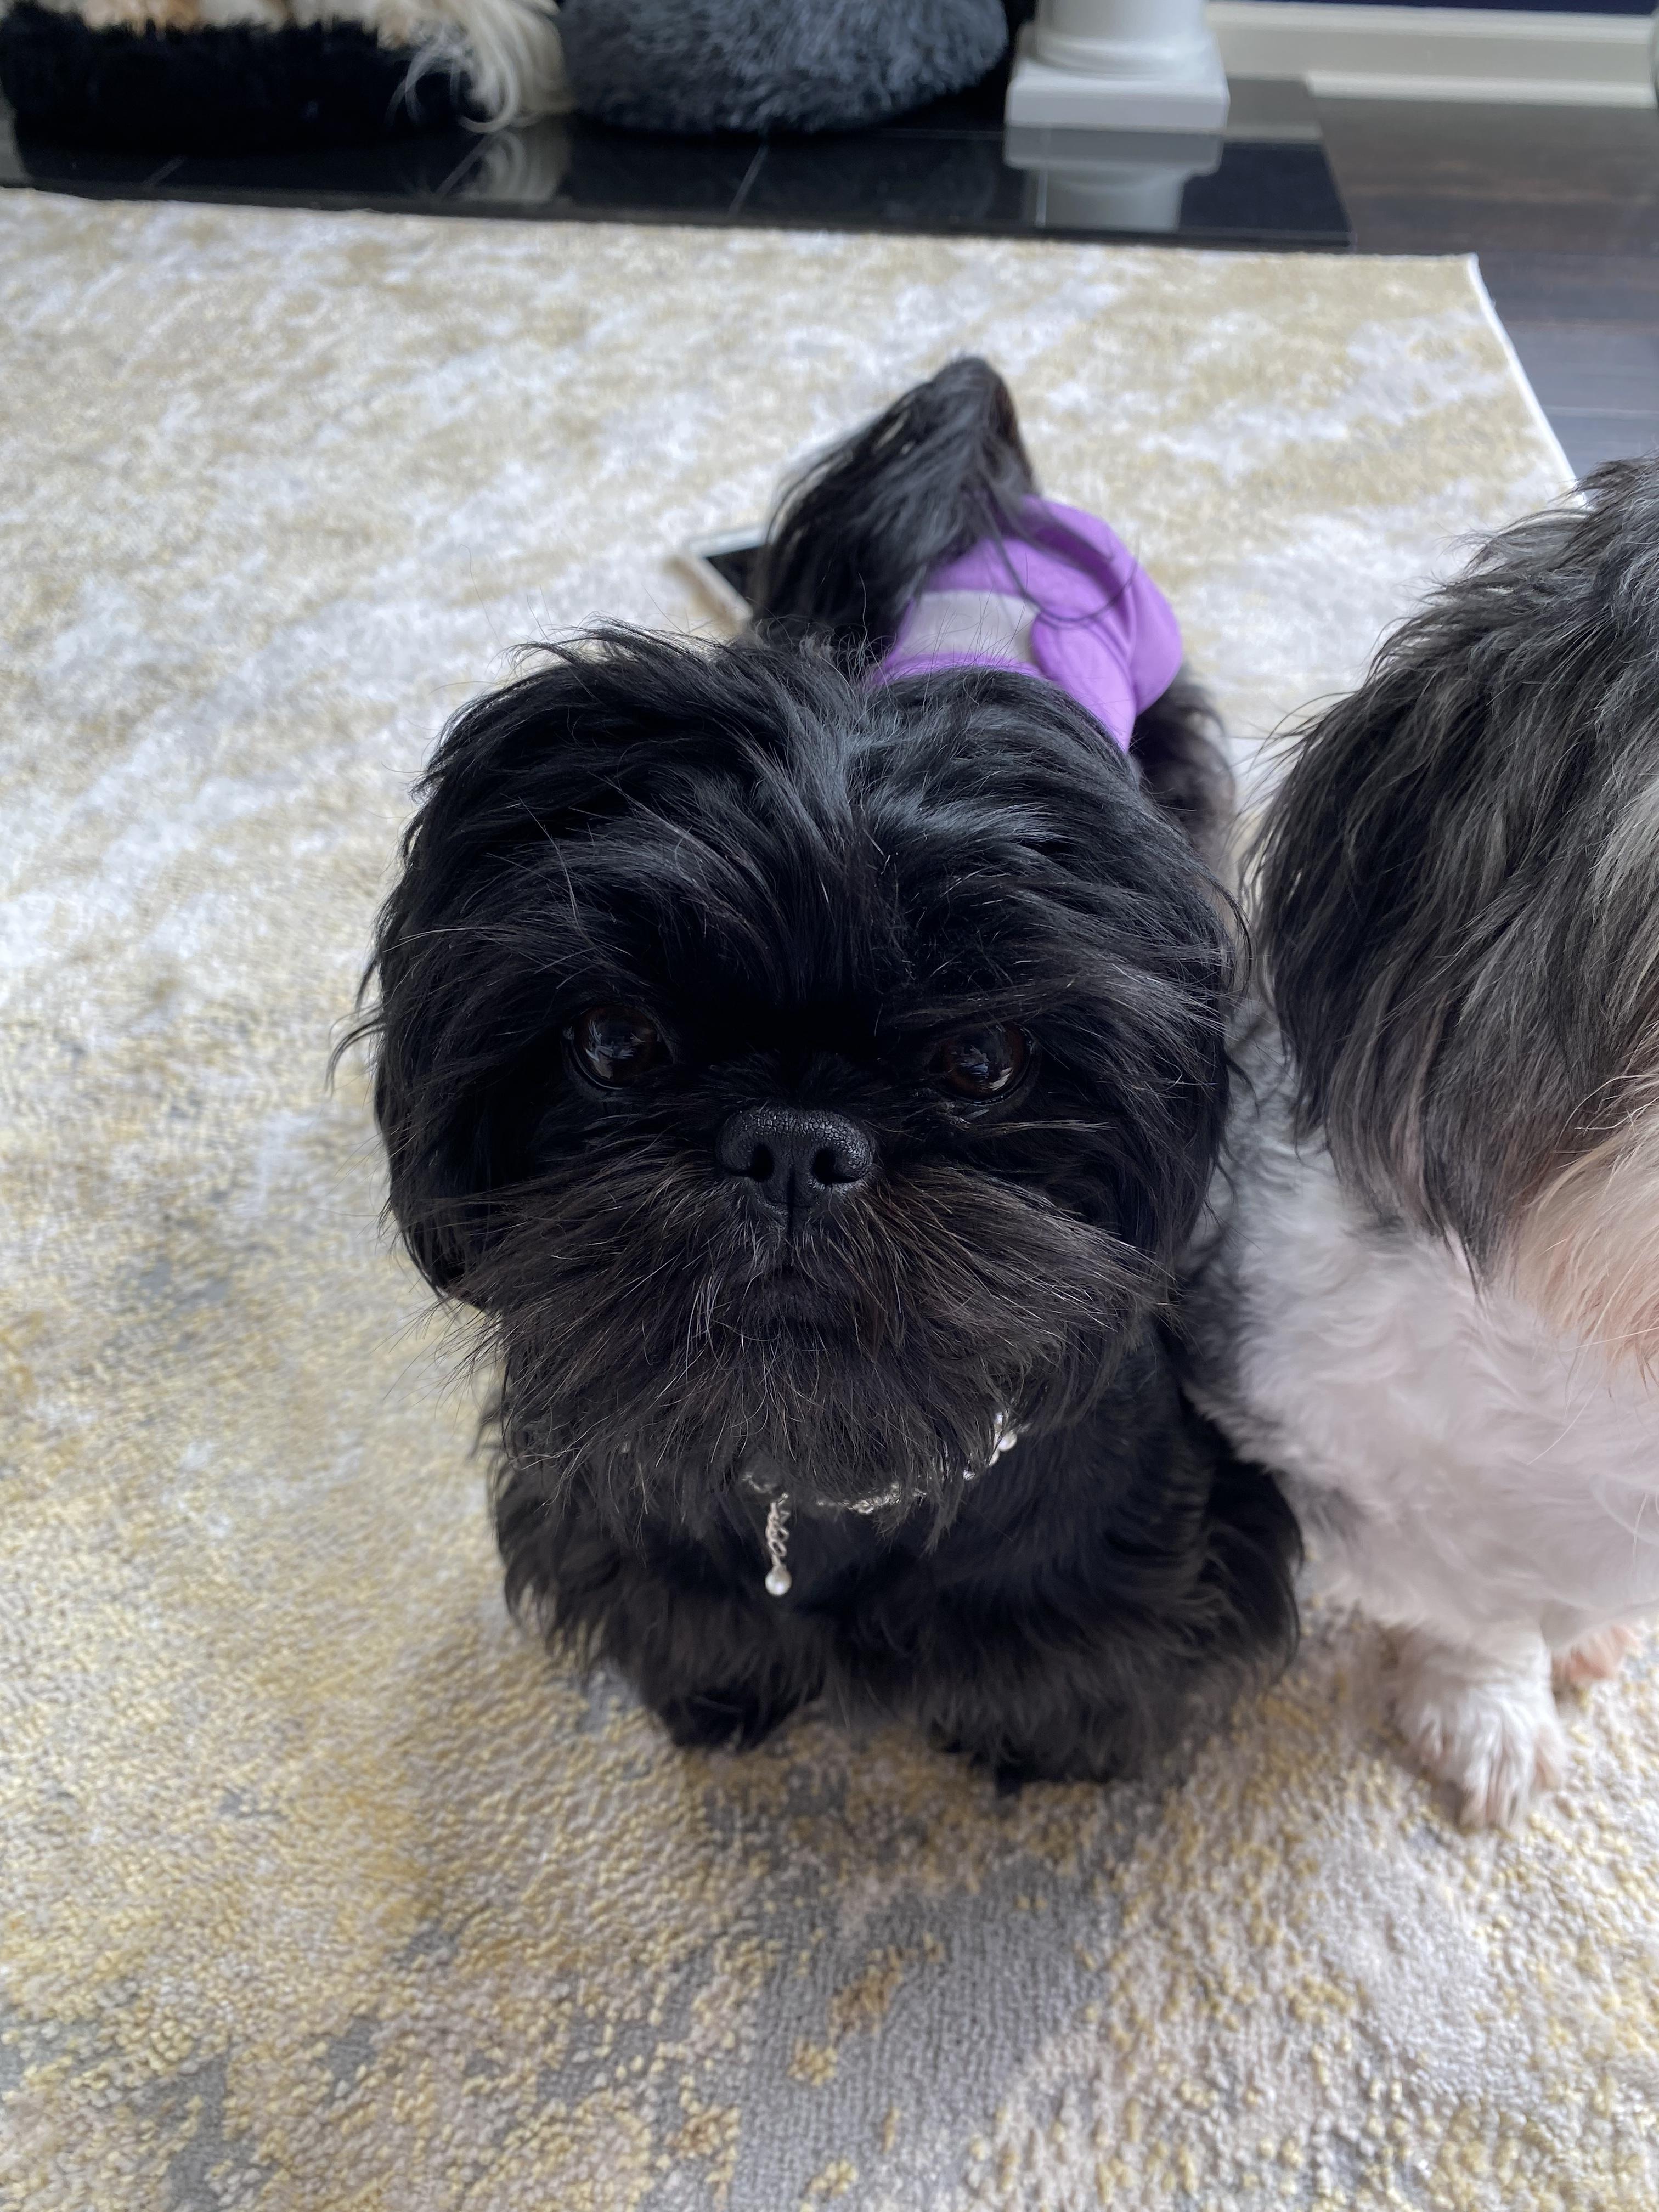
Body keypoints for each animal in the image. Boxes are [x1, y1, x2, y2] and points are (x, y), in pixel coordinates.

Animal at [360, 357, 1299, 1783]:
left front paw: (1034, 1757)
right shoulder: (623, 1544)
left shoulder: (1125, 1574)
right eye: (615, 1043)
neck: (820, 1479)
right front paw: (723, 1706)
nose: (793, 1143)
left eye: (984, 1059)